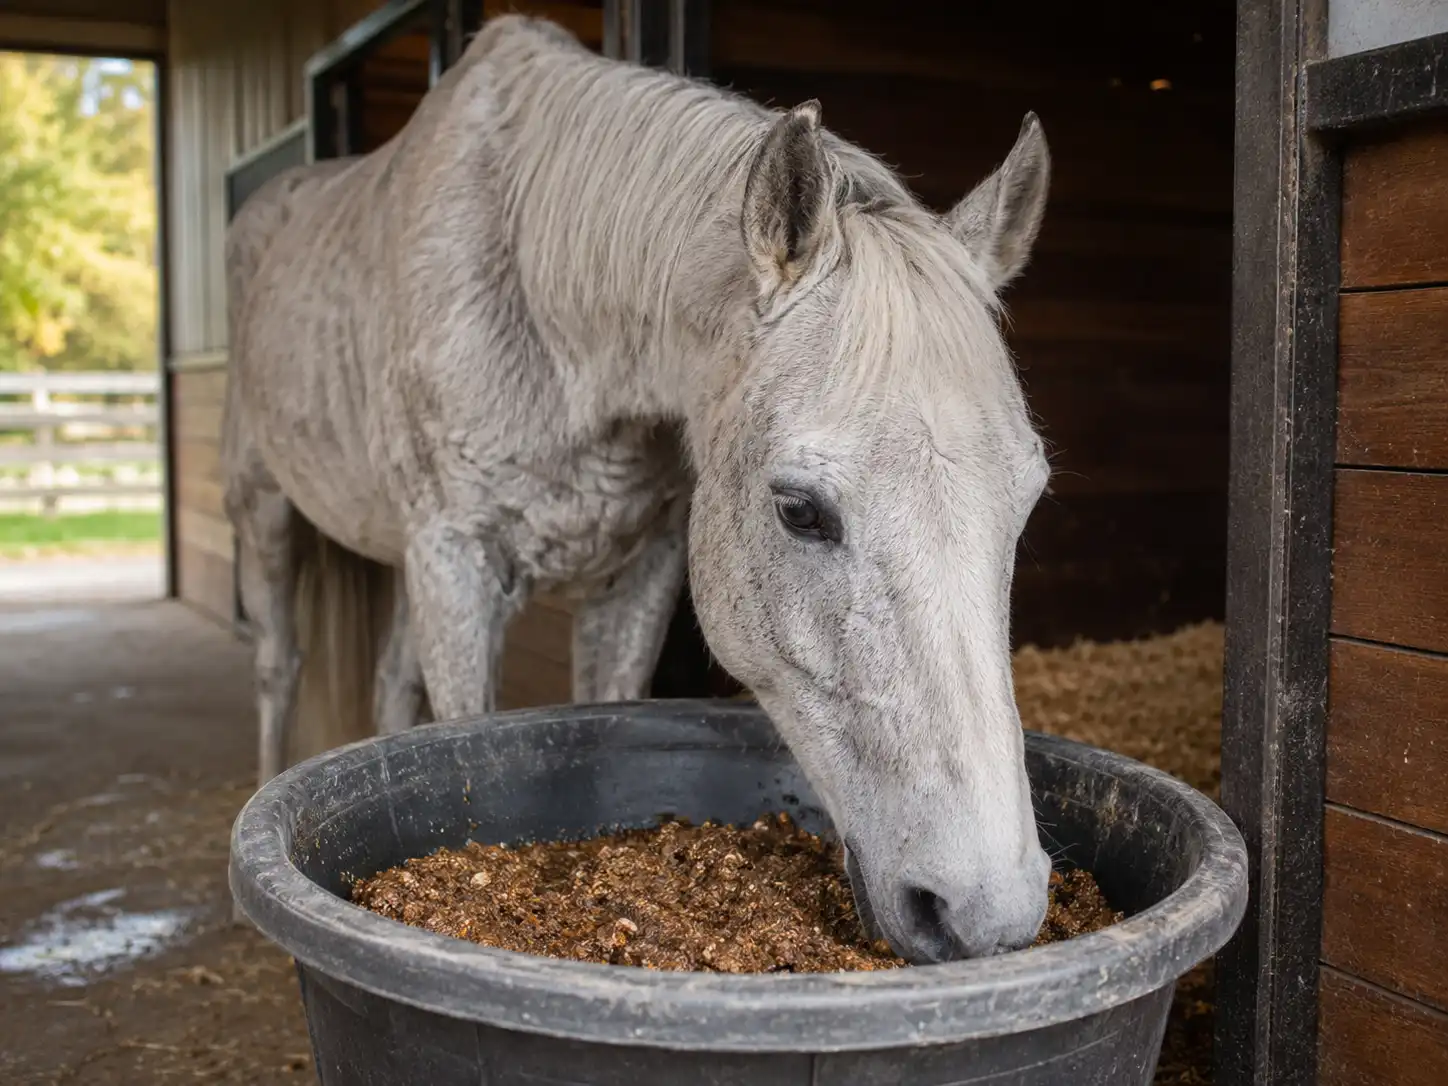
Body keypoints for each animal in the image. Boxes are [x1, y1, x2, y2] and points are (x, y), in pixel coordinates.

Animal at [222, 14, 1054, 963]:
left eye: (1027, 502)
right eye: (799, 511)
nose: (987, 913)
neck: (542, 290)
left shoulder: (637, 571)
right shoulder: (455, 563)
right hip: (266, 513)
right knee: (278, 663)